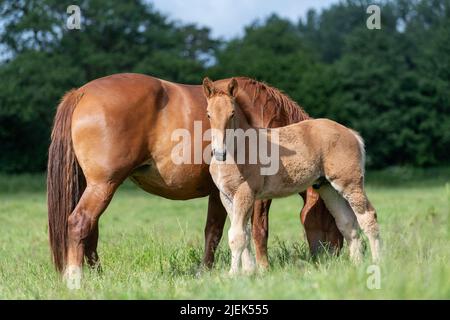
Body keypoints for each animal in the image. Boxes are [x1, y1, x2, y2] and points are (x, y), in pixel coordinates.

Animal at [203, 78, 380, 276]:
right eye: (209, 114)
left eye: (232, 113)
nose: (220, 153)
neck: (240, 149)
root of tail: (351, 133)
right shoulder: (226, 196)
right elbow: (243, 233)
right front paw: (248, 272)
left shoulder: (245, 194)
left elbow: (238, 236)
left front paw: (233, 275)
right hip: (328, 187)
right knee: (347, 223)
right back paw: (357, 265)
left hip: (349, 183)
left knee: (368, 217)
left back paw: (377, 262)